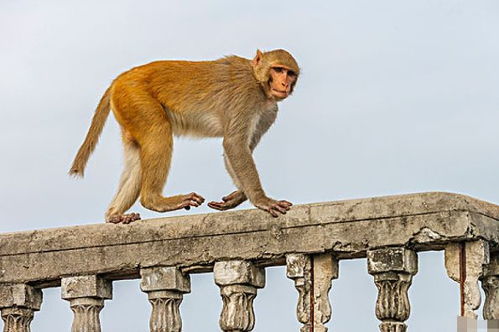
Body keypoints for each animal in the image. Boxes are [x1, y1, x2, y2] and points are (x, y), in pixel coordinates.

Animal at [68, 48, 298, 223]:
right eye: (278, 69)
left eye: (290, 73)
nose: (284, 84)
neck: (259, 83)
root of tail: (119, 79)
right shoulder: (246, 95)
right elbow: (234, 144)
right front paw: (261, 200)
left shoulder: (269, 112)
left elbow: (239, 149)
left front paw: (238, 195)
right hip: (136, 99)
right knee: (158, 132)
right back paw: (155, 200)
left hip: (127, 110)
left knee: (137, 158)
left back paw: (114, 215)